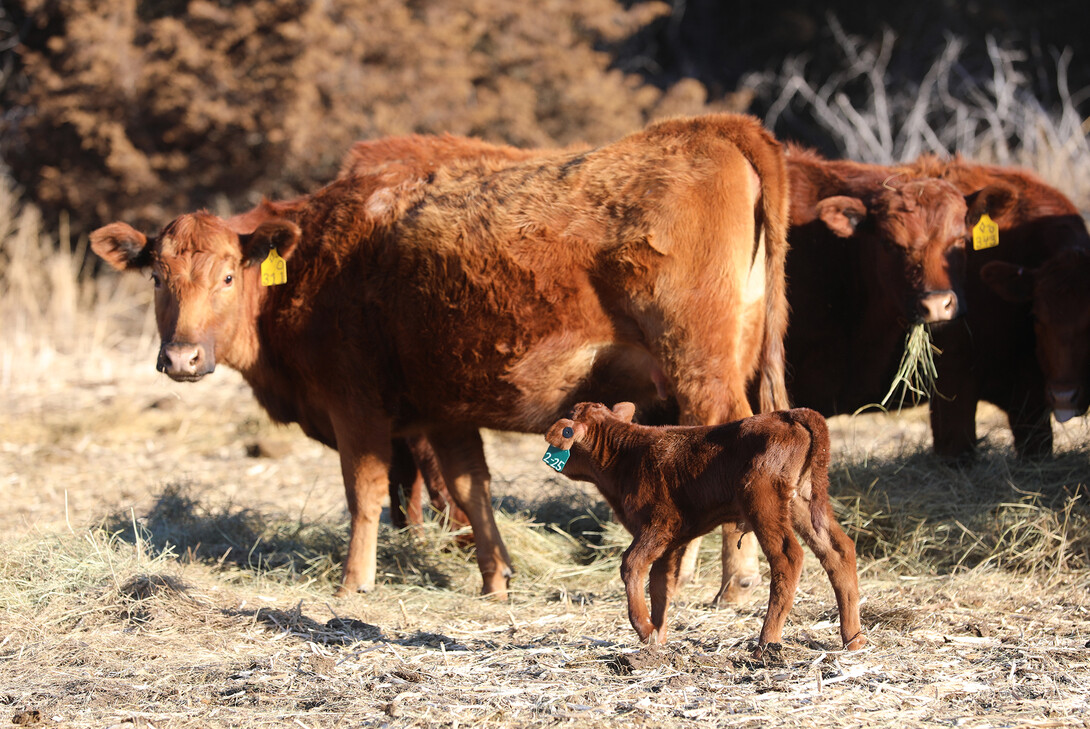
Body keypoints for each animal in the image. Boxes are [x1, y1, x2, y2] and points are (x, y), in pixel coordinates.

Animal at [91, 113, 793, 601]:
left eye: (228, 277)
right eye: (157, 277)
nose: (182, 358)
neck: (320, 254)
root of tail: (712, 128)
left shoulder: (356, 405)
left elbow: (367, 492)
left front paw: (354, 582)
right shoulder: (446, 413)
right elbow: (470, 490)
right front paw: (495, 579)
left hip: (699, 369)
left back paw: (732, 583)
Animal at [540, 401, 863, 658]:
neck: (625, 455)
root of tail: (789, 413)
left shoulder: (658, 524)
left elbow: (631, 565)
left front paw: (644, 629)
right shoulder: (669, 542)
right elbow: (660, 583)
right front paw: (658, 637)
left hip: (763, 500)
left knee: (788, 557)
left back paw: (766, 642)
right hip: (803, 501)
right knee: (838, 551)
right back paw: (853, 640)